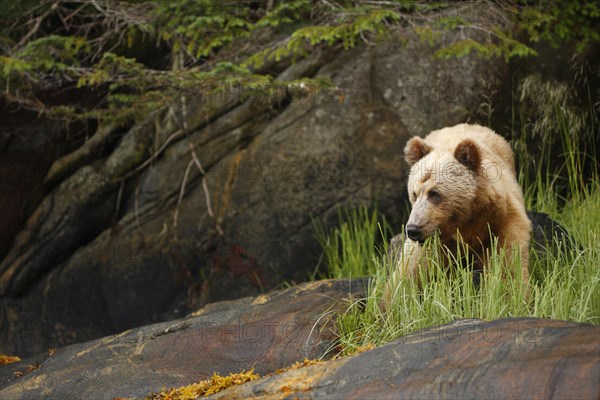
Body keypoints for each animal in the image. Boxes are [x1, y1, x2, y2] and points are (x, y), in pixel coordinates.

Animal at [384, 123, 528, 304]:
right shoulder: (432, 245)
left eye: (435, 193)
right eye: (414, 194)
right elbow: (408, 276)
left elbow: (508, 267)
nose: (413, 229)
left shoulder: (501, 226)